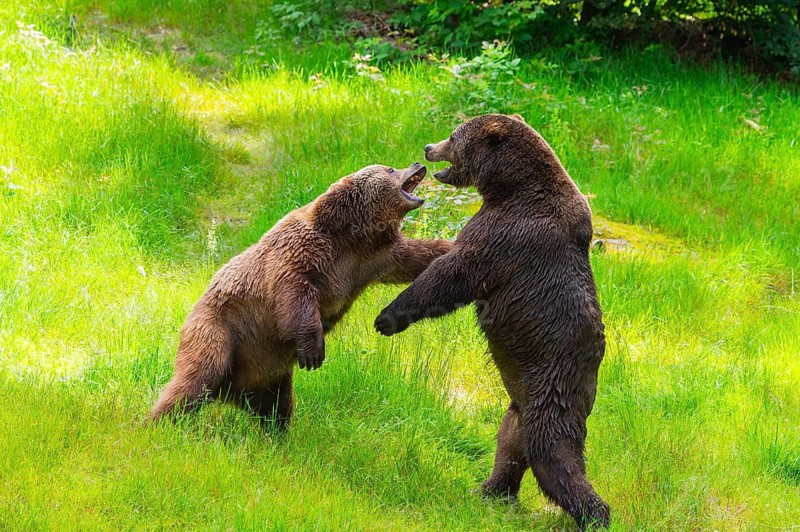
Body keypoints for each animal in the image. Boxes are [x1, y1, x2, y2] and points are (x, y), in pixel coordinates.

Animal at [147, 163, 453, 428]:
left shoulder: (373, 259)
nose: (417, 164)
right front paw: (313, 353)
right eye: (390, 169)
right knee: (196, 378)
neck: (351, 236)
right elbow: (295, 293)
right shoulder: (301, 253)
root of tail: (230, 392)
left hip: (268, 370)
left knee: (276, 405)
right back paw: (156, 423)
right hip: (219, 330)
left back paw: (276, 434)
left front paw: (450, 248)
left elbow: (417, 256)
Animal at [374, 115, 610, 529]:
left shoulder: (508, 234)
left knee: (554, 453)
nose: (428, 148)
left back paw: (595, 514)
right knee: (510, 445)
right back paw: (487, 490)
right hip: (521, 403)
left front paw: (387, 317)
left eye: (454, 137)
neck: (510, 188)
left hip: (551, 385)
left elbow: (454, 273)